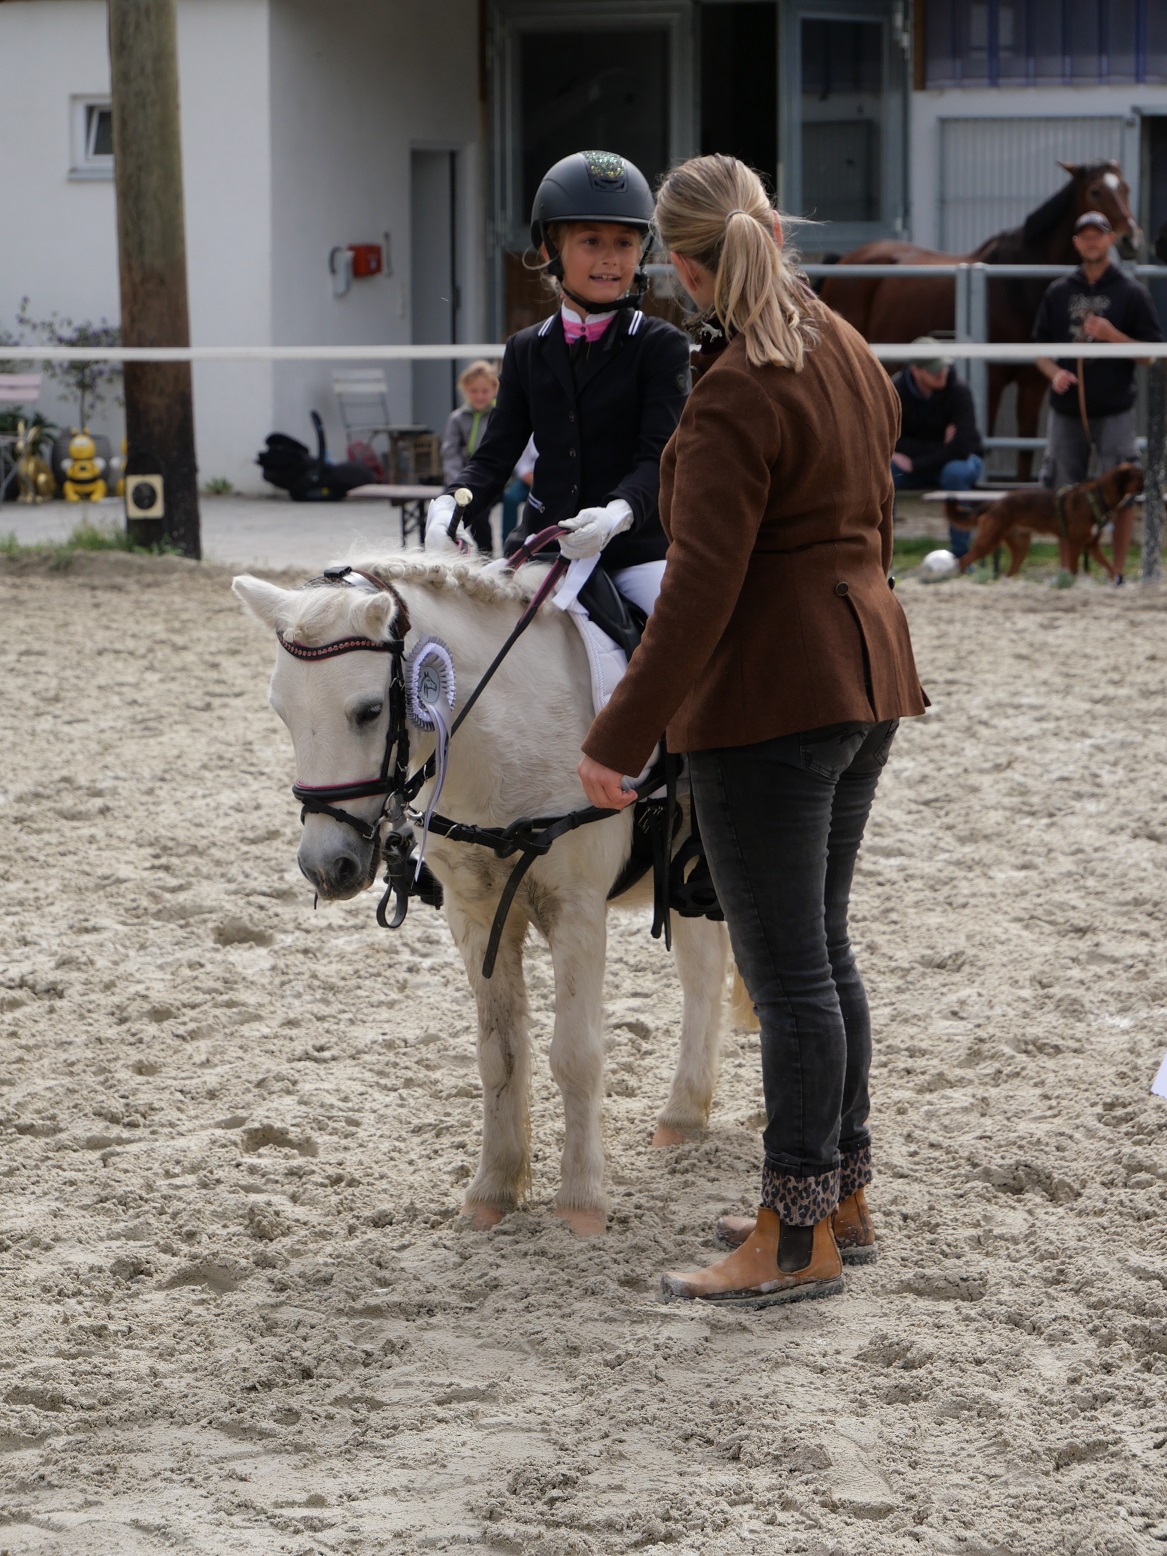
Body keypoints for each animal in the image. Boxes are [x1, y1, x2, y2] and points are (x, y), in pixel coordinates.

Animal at [234, 553, 734, 1232]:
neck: (506, 734)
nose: (325, 866)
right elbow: (499, 1055)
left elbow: (575, 1054)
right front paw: (492, 1191)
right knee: (705, 976)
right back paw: (684, 1114)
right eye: (281, 712)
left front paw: (581, 1204)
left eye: (368, 711)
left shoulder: (577, 911)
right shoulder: (475, 914)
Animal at [821, 158, 1145, 476]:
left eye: (1126, 188)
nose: (1131, 239)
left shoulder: (1034, 382)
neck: (1019, 285)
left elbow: (1025, 449)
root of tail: (846, 260)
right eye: (1095, 191)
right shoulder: (993, 378)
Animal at [958, 466, 1145, 585]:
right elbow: (1074, 569)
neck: (1097, 497)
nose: (1149, 483)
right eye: (1140, 477)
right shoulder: (1075, 543)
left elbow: (1110, 567)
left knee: (1009, 572)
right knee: (963, 560)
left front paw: (1117, 581)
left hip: (1020, 546)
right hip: (988, 541)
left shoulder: (1092, 546)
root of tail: (995, 503)